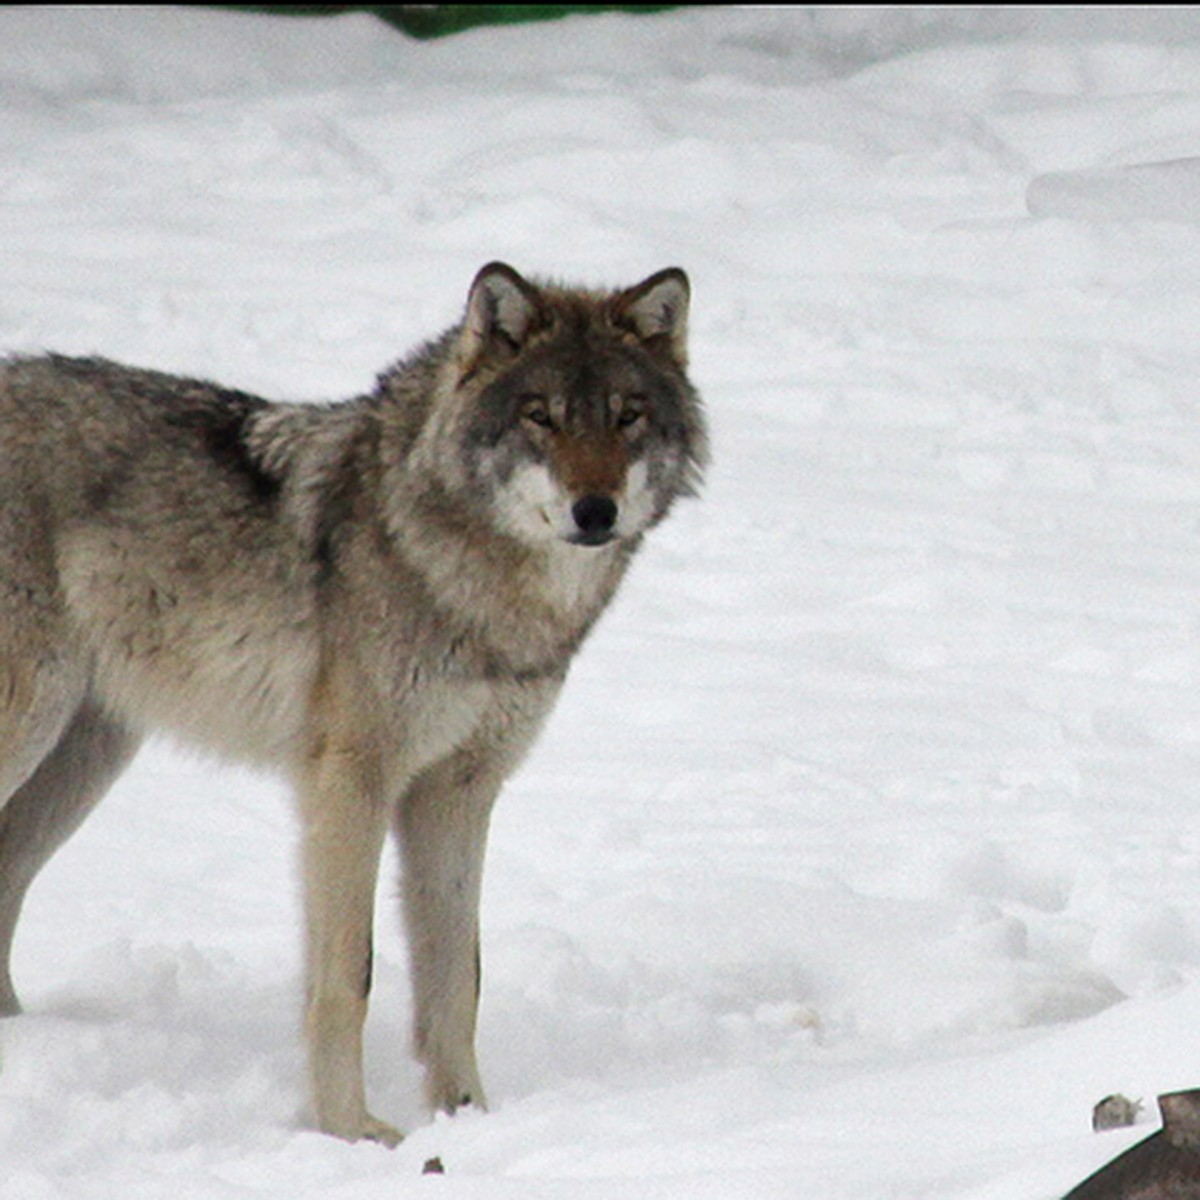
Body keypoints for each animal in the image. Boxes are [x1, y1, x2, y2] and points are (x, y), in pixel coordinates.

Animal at [0, 262, 700, 1142]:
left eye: (627, 416)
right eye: (540, 416)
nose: (595, 511)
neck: (468, 585)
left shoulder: (459, 792)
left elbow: (457, 977)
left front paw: (470, 1119)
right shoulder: (350, 785)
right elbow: (349, 976)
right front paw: (352, 1132)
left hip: (84, 758)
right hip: (34, 730)